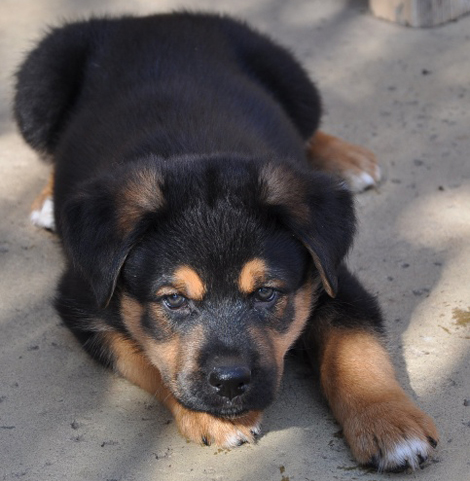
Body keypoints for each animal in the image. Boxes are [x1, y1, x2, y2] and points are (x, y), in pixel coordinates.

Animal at [15, 11, 440, 468]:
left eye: (267, 293)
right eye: (173, 300)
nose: (231, 382)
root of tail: (148, 18)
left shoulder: (334, 276)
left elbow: (356, 349)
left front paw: (390, 423)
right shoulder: (82, 300)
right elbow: (146, 355)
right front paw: (212, 417)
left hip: (295, 81)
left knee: (308, 129)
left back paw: (347, 158)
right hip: (36, 87)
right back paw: (48, 202)